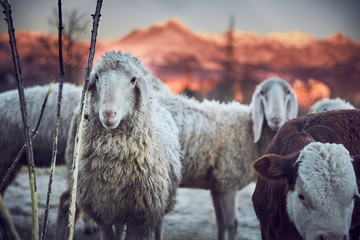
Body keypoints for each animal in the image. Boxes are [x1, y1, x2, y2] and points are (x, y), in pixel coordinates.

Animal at [55, 51, 181, 240]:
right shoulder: (103, 210)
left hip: (161, 201)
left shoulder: (140, 215)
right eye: (97, 77)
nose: (108, 114)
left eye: (133, 79)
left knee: (158, 223)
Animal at [158, 77, 298, 240]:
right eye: (262, 93)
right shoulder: (228, 181)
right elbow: (232, 224)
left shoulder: (217, 185)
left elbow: (221, 222)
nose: (276, 119)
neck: (249, 130)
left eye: (287, 92)